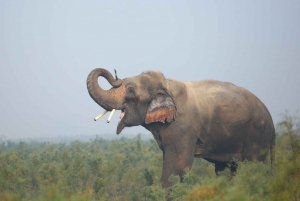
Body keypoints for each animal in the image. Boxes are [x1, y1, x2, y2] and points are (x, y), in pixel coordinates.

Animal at [86, 68, 274, 188]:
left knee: (255, 167)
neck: (166, 85)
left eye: (131, 91)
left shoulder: (181, 127)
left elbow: (176, 169)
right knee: (225, 170)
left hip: (257, 136)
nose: (116, 76)